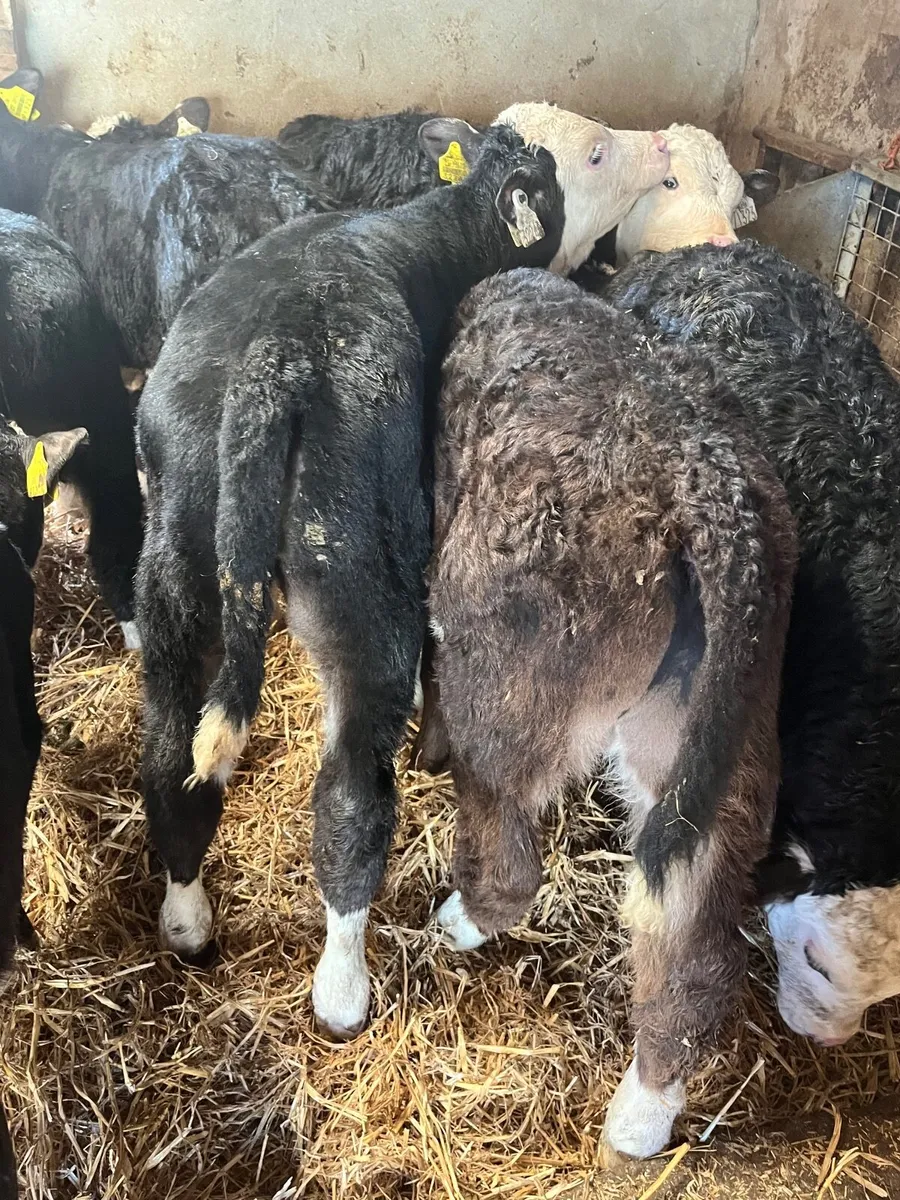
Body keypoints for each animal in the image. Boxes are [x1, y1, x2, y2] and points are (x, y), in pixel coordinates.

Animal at [418, 267, 796, 1159]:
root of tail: (702, 478)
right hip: (711, 746)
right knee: (694, 947)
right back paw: (641, 1115)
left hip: (509, 688)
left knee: (512, 862)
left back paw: (460, 920)